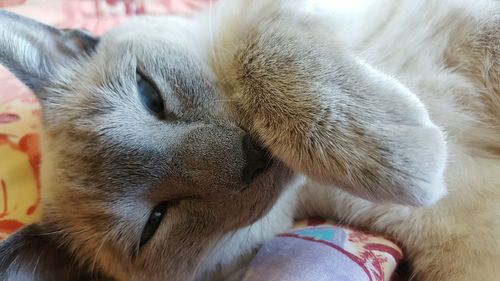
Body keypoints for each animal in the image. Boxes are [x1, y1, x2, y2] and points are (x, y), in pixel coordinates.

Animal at [0, 0, 498, 278]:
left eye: (150, 96)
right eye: (155, 222)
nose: (251, 156)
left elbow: (256, 49)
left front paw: (395, 153)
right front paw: (418, 164)